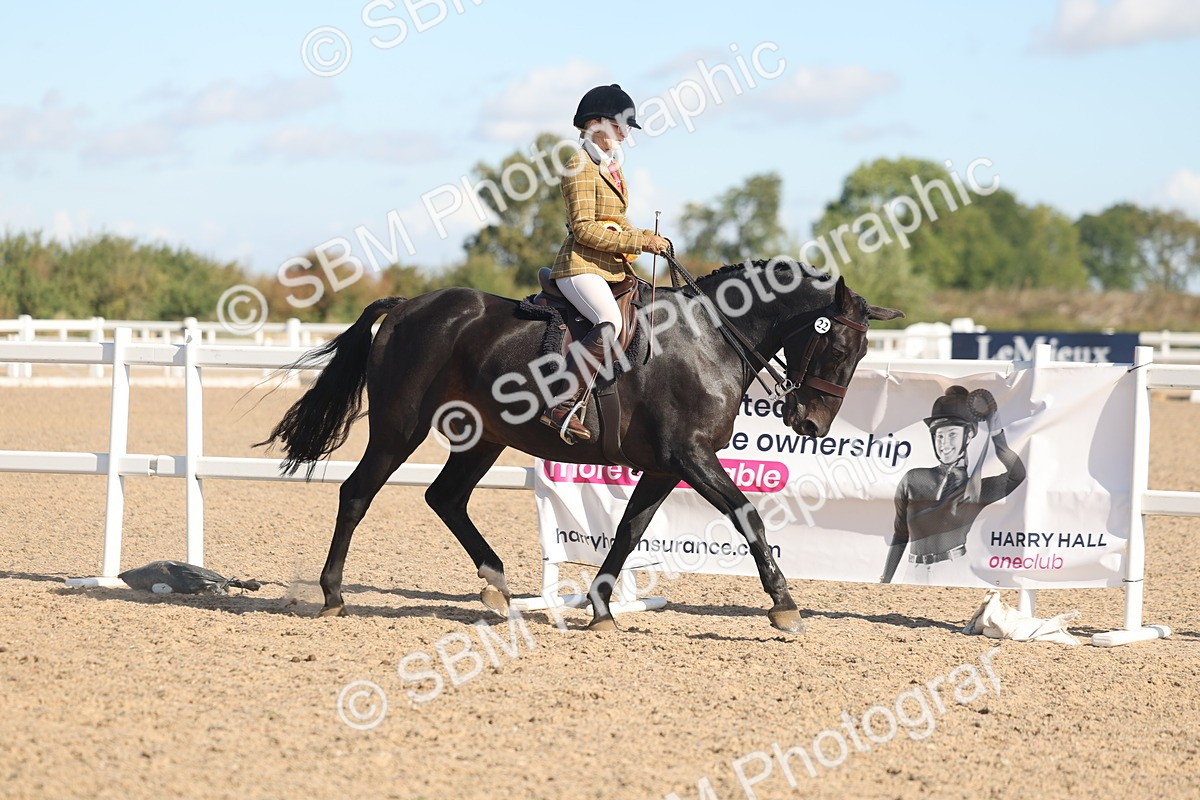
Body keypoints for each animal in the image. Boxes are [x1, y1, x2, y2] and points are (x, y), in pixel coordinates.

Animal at [260, 258, 903, 633]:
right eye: (837, 348)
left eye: (862, 353)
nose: (811, 425)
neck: (712, 337)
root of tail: (408, 307)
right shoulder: (692, 456)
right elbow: (748, 516)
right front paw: (784, 606)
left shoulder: (665, 466)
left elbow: (629, 531)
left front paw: (601, 610)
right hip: (400, 428)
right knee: (356, 494)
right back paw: (333, 595)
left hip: (483, 438)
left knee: (444, 498)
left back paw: (497, 590)